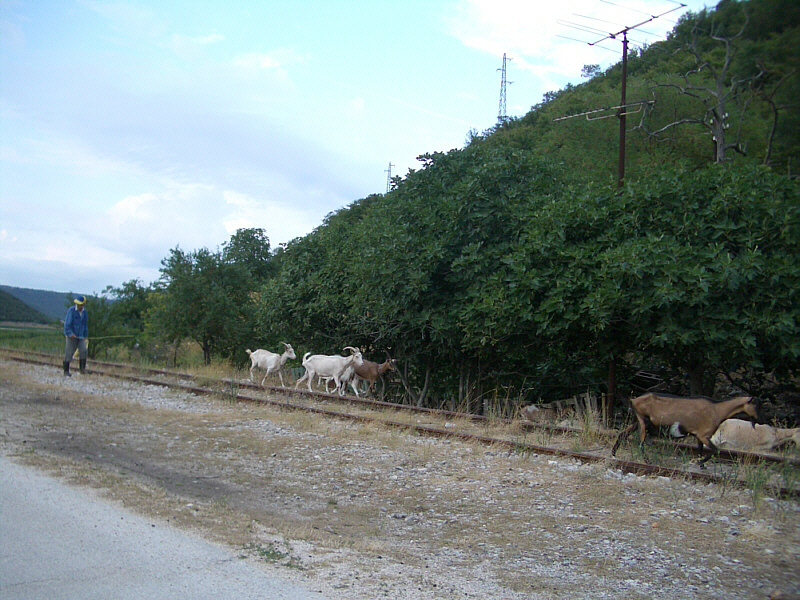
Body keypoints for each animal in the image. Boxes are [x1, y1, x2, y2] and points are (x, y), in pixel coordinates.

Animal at [608, 392, 760, 466]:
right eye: (756, 405)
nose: (760, 420)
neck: (717, 409)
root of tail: (634, 400)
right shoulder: (704, 434)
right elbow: (716, 450)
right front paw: (700, 463)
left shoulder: (699, 435)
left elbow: (700, 449)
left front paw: (701, 465)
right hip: (642, 420)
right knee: (640, 443)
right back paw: (647, 461)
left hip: (636, 421)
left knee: (623, 435)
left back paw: (613, 454)